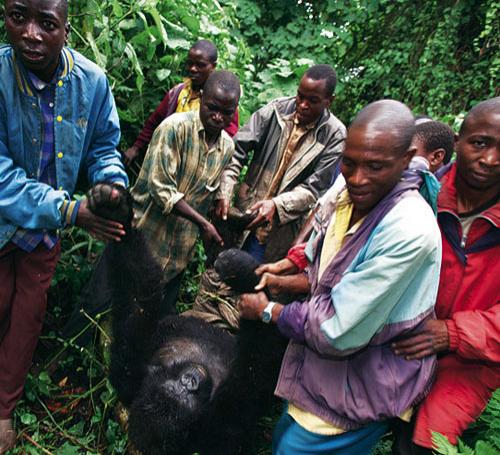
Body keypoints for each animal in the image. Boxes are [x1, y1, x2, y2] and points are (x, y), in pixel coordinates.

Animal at [87, 183, 286, 454]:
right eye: (179, 392)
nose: (190, 381)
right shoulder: (223, 423)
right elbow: (257, 364)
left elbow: (139, 302)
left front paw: (115, 212)